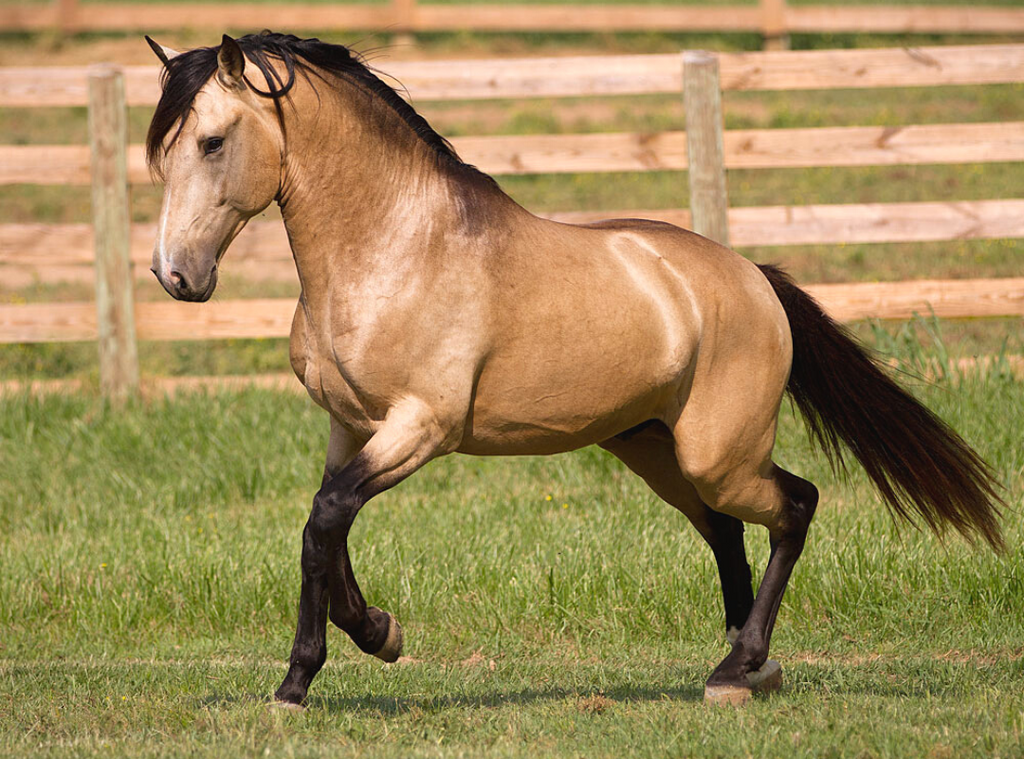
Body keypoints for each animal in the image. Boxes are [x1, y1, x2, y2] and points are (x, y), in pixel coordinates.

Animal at [146, 29, 1007, 704]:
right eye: (164, 154)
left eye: (212, 142)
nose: (176, 276)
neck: (395, 248)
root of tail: (754, 278)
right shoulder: (351, 426)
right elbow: (328, 523)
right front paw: (370, 636)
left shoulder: (422, 425)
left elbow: (326, 519)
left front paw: (307, 675)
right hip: (653, 448)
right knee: (726, 527)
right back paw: (742, 666)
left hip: (718, 453)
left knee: (794, 506)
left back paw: (741, 666)